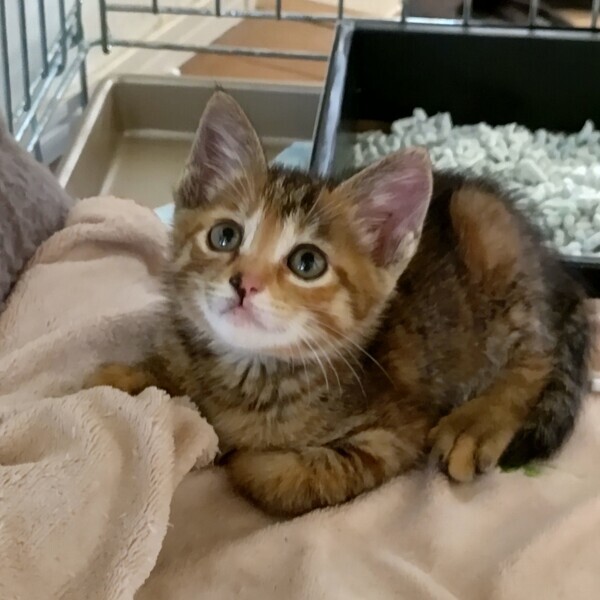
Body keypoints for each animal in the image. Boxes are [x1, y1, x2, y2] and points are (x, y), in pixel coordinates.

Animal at [86, 91, 590, 517]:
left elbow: (285, 477)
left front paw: (242, 456)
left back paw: (478, 421)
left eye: (307, 263)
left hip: (485, 229)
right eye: (224, 235)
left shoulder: (396, 434)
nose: (244, 283)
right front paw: (124, 377)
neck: (249, 374)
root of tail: (561, 276)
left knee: (536, 353)